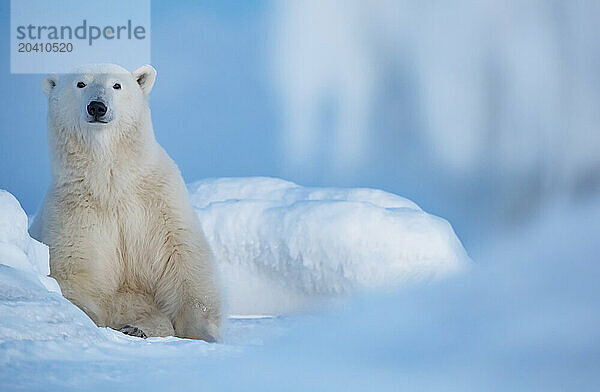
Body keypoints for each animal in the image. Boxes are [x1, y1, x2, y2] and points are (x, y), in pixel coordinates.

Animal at [29, 62, 221, 342]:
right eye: (80, 84)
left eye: (116, 85)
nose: (97, 107)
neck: (112, 184)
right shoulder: (75, 211)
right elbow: (75, 275)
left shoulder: (159, 203)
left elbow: (184, 262)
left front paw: (203, 333)